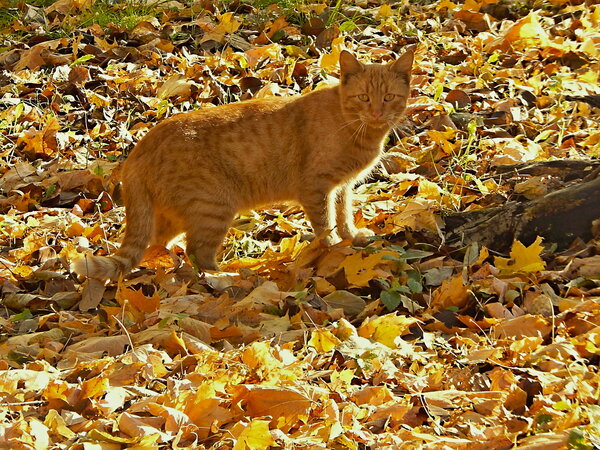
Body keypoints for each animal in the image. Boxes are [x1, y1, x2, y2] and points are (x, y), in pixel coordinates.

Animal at [74, 50, 412, 282]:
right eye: (364, 97)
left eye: (389, 97)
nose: (378, 113)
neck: (354, 128)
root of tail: (138, 150)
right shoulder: (317, 188)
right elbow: (325, 223)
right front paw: (332, 247)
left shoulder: (342, 187)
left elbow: (343, 216)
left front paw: (351, 238)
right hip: (214, 207)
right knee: (198, 254)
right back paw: (229, 276)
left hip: (175, 215)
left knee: (159, 245)